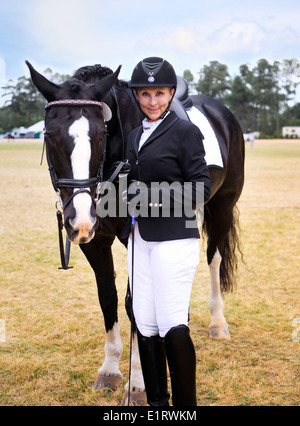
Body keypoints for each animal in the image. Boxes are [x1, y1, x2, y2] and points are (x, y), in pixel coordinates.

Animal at [27, 59, 245, 402]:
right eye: (49, 135)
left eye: (101, 133)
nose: (78, 219)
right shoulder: (95, 241)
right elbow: (108, 297)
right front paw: (110, 369)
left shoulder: (134, 238)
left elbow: (136, 304)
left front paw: (139, 383)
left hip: (222, 206)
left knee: (214, 259)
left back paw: (217, 323)